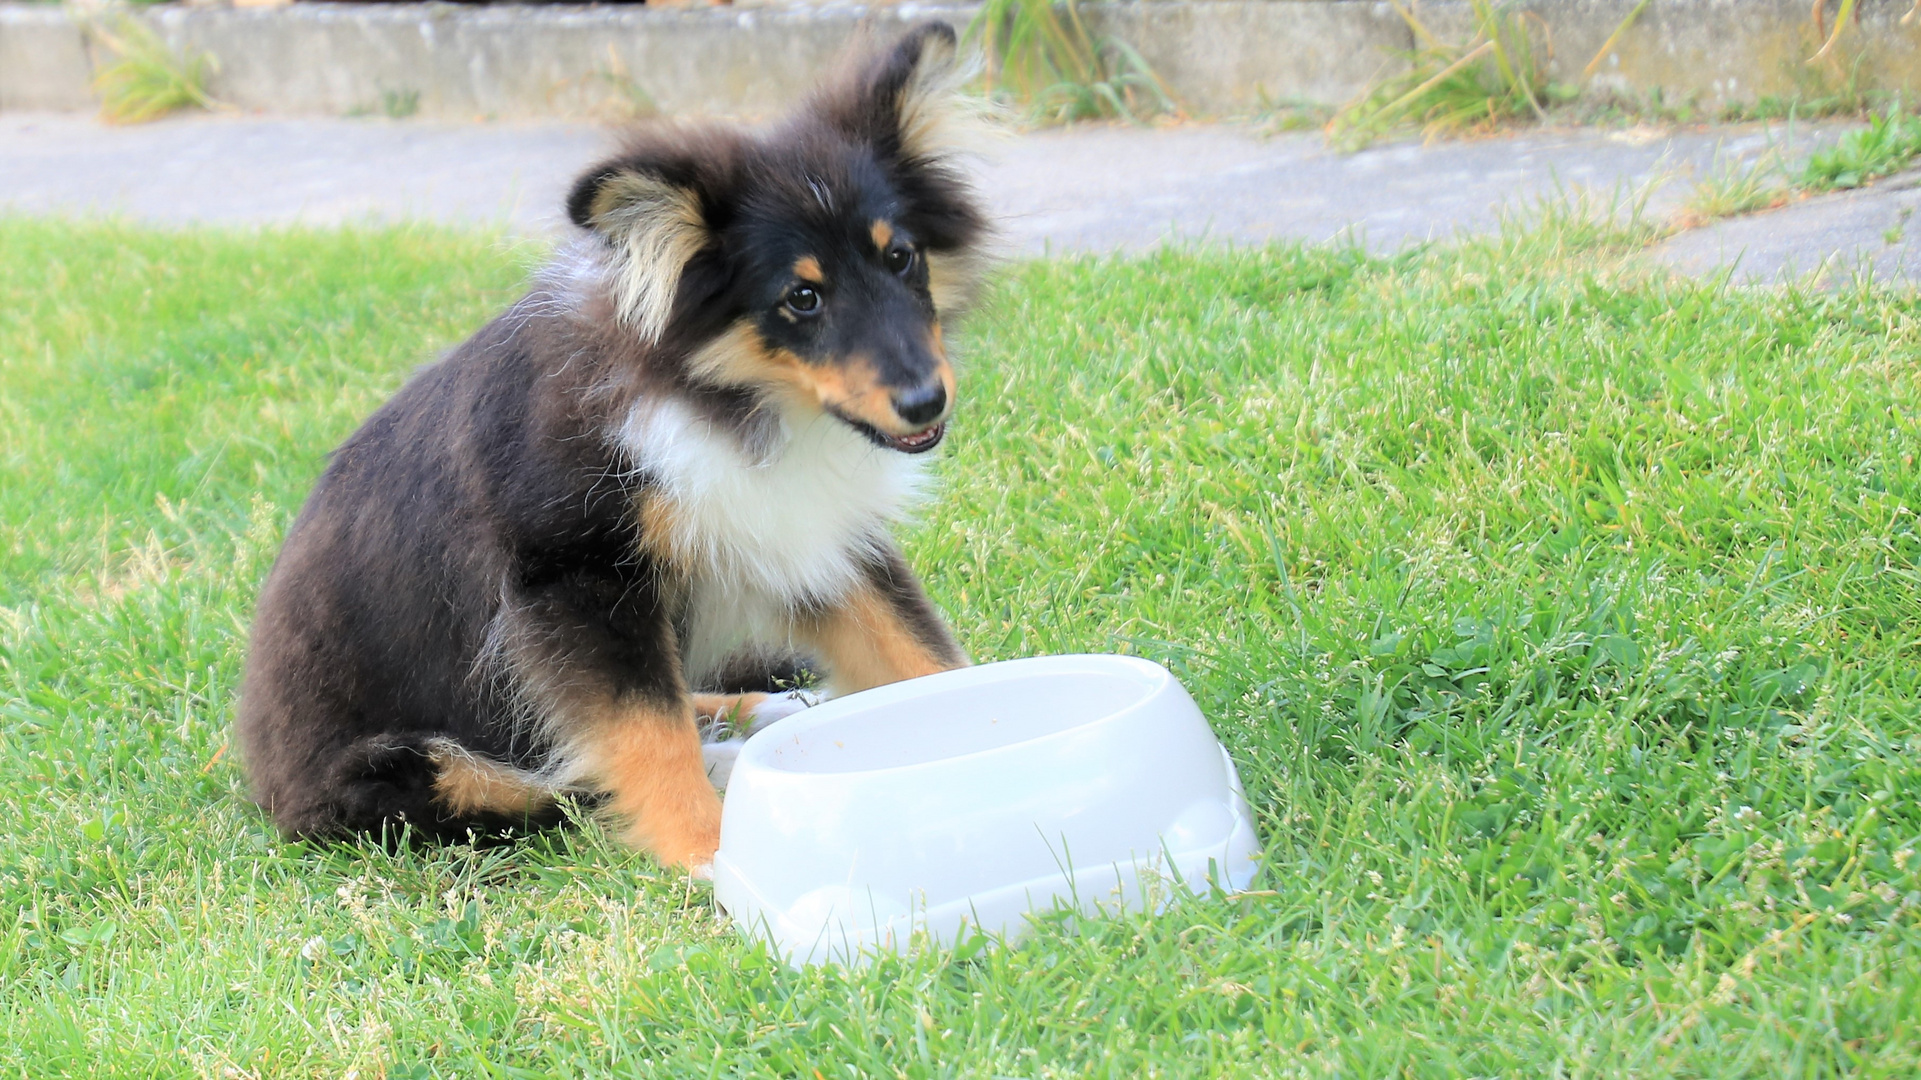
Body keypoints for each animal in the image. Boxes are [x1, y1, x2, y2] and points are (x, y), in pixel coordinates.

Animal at [236, 21, 991, 868]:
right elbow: (644, 730)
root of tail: (264, 777)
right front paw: (710, 853)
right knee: (556, 782)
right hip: (406, 774)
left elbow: (914, 647)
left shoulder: (805, 533)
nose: (926, 401)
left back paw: (767, 706)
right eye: (801, 297)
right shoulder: (575, 573)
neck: (719, 397)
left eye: (902, 257)